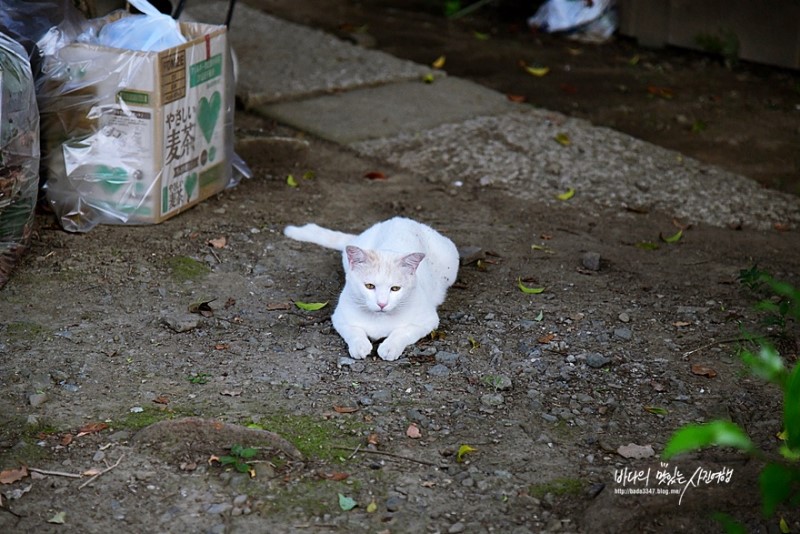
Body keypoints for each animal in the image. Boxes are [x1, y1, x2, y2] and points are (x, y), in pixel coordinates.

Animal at [282, 219, 460, 364]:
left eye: (395, 289)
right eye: (369, 286)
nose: (382, 303)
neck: (378, 319)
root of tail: (401, 219)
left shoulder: (428, 321)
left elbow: (403, 331)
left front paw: (389, 347)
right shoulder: (340, 318)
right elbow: (353, 331)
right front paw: (359, 345)